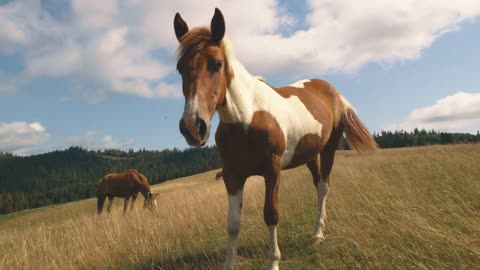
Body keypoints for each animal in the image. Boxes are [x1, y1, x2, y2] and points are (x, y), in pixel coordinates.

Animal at [172, 8, 378, 270]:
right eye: (180, 68)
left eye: (216, 64)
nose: (193, 126)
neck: (247, 117)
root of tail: (334, 92)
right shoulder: (232, 175)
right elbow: (233, 224)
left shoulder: (272, 170)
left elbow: (271, 215)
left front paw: (274, 262)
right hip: (309, 155)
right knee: (317, 183)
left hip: (329, 148)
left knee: (324, 186)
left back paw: (318, 234)